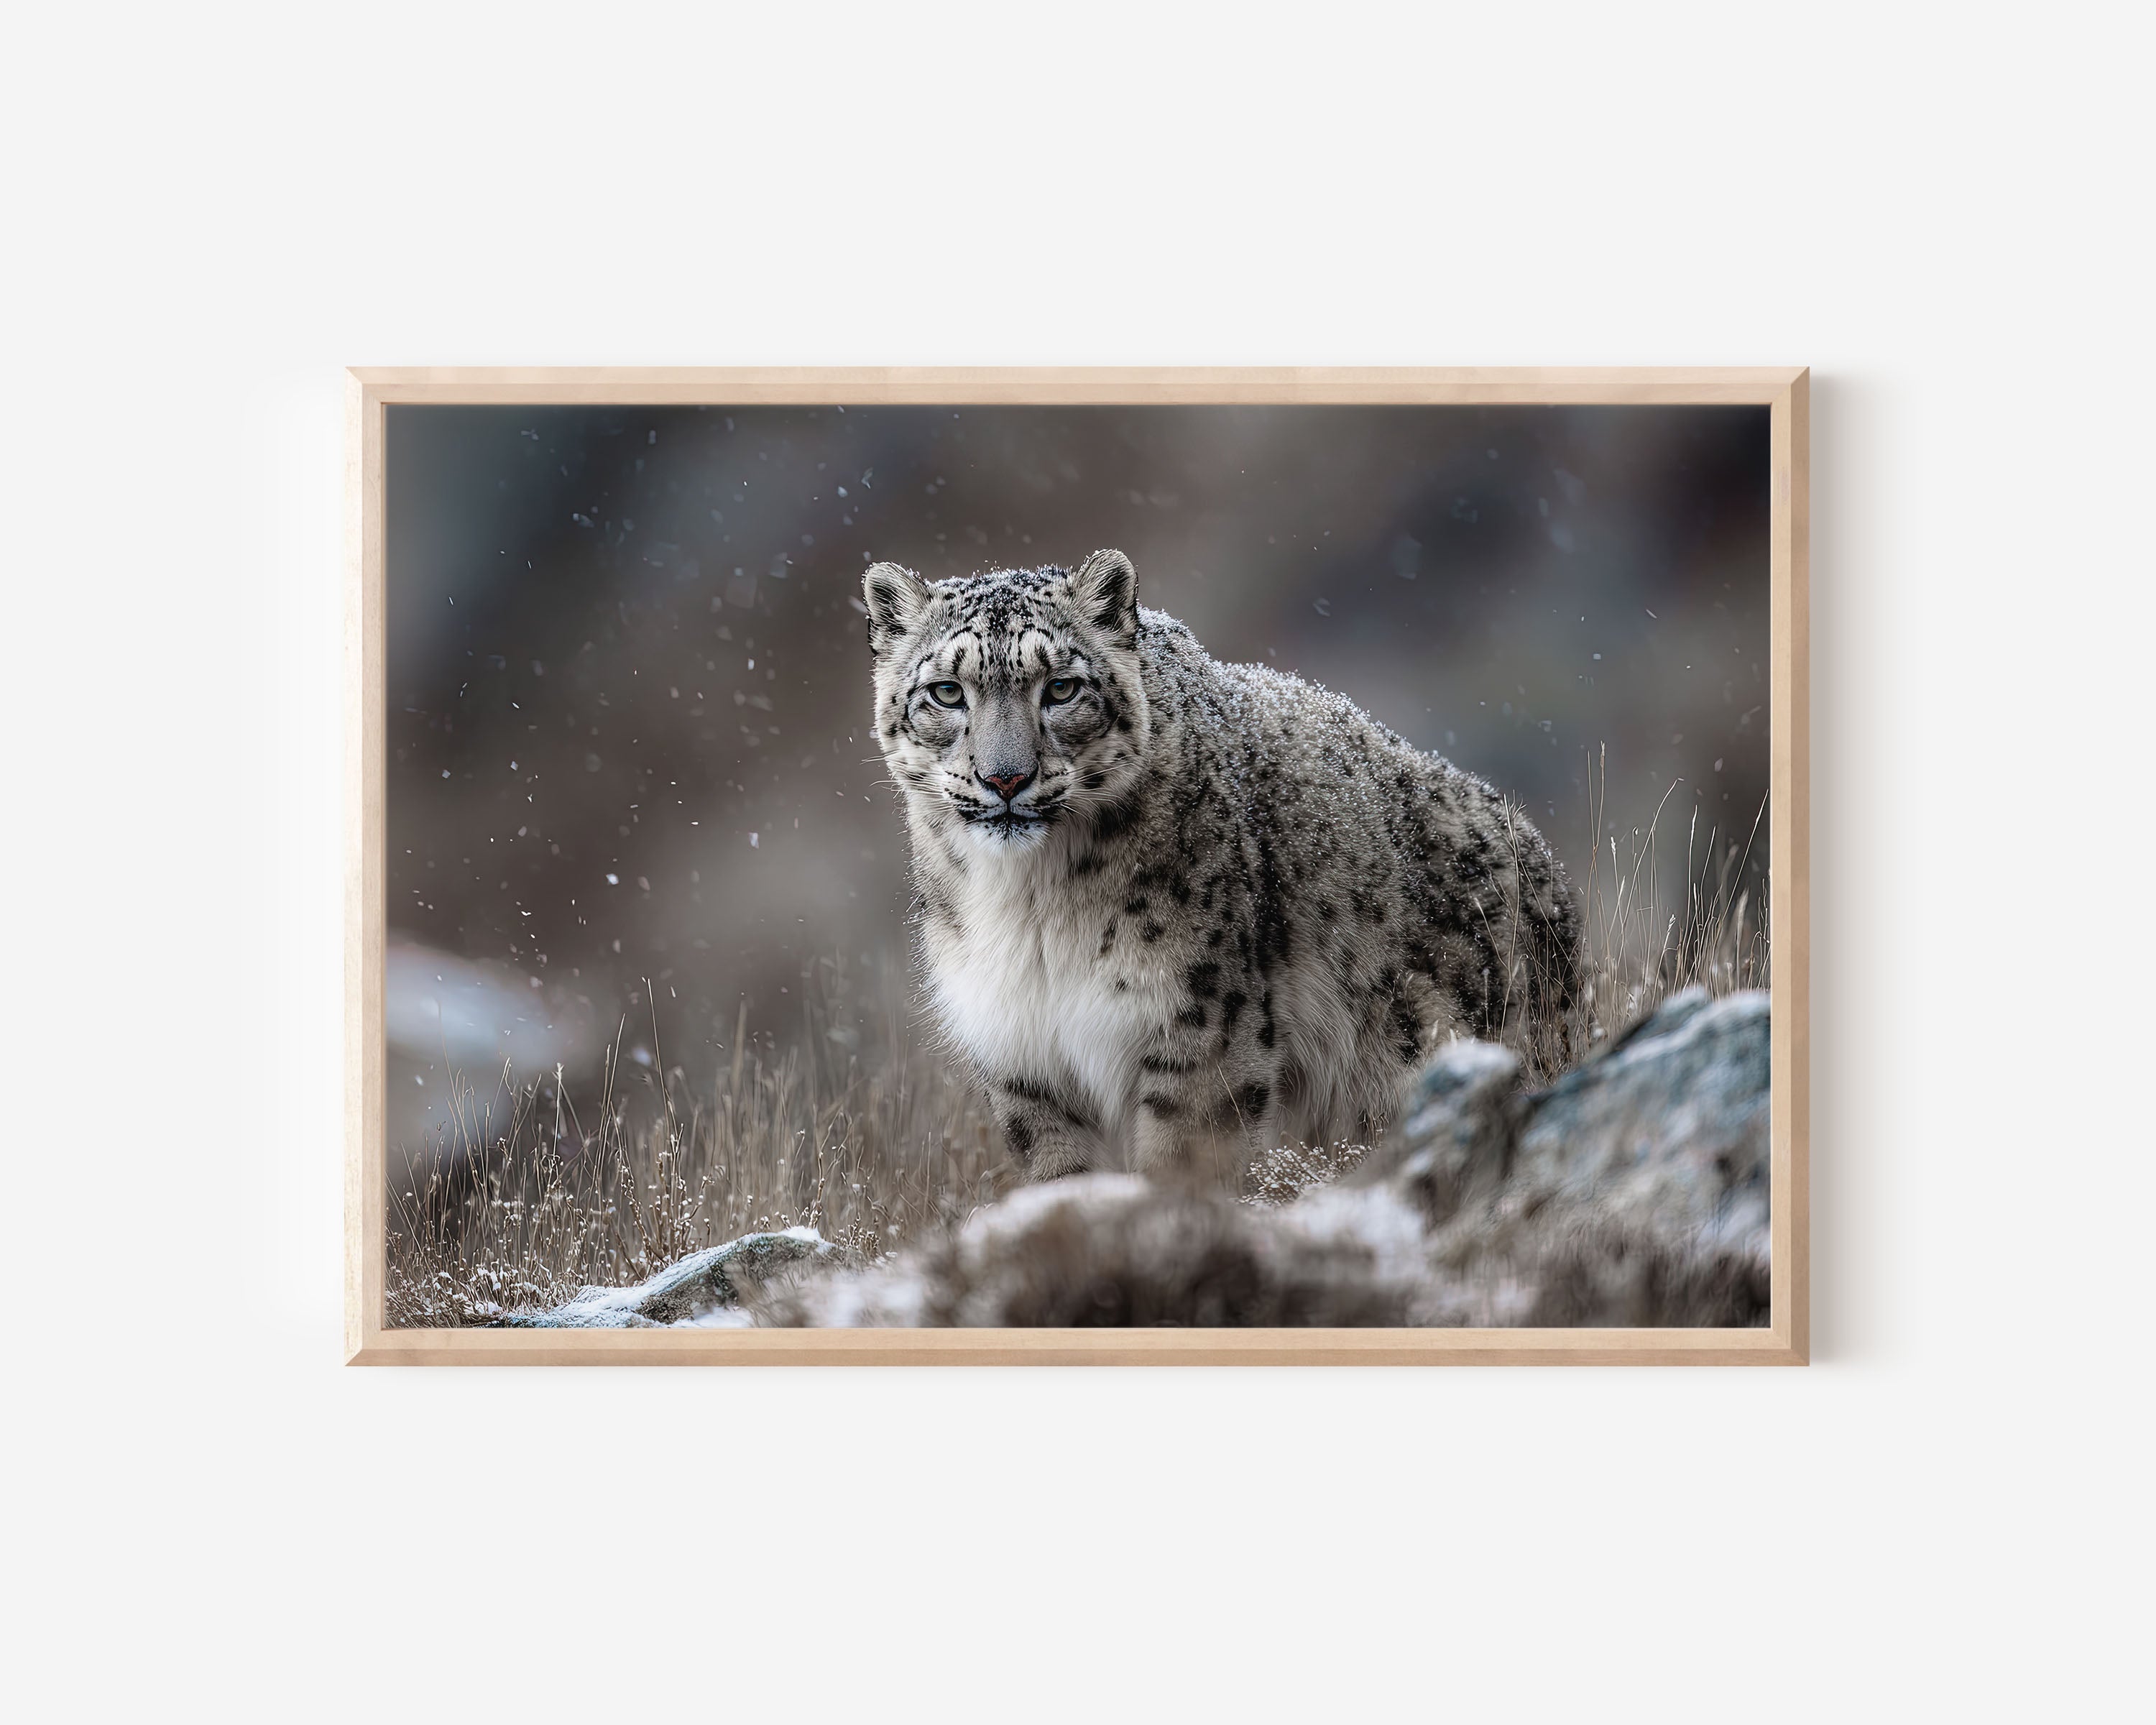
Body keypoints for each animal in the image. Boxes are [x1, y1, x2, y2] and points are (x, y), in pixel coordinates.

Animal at [863, 548, 1580, 1182]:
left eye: (1061, 687)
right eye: (947, 692)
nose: (1005, 778)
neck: (1029, 906)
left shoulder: (1198, 1024)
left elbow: (1185, 1162)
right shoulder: (1022, 1055)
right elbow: (1061, 1174)